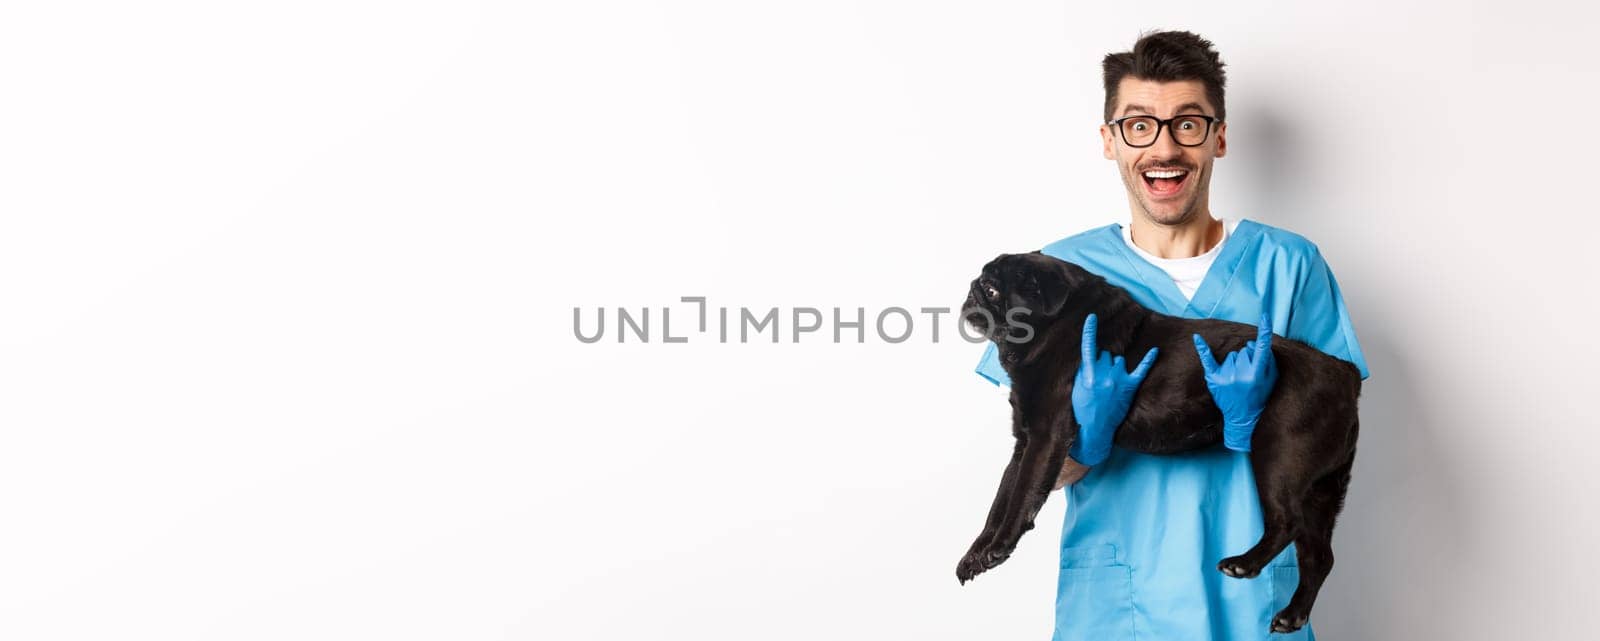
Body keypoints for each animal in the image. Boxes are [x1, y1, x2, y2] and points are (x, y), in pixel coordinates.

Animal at [953, 247, 1356, 629]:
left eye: (992, 289)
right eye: (981, 284)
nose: (972, 290)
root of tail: (1346, 374)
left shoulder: (1045, 437)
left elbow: (1021, 497)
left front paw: (1000, 546)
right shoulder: (1024, 443)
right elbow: (1001, 499)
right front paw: (977, 553)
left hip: (1277, 457)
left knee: (1287, 521)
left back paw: (1246, 563)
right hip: (1322, 490)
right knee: (1318, 556)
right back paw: (1293, 614)